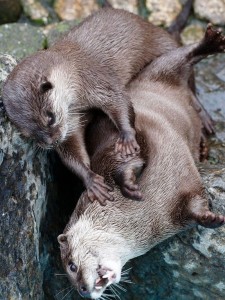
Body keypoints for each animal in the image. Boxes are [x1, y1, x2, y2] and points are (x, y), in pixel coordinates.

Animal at [1, 5, 209, 204]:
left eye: (50, 117)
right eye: (30, 135)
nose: (52, 142)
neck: (74, 71)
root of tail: (157, 28)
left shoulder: (95, 79)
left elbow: (119, 101)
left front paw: (127, 138)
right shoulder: (71, 122)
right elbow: (71, 151)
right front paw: (90, 180)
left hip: (165, 46)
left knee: (189, 80)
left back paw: (205, 118)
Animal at [56, 26, 225, 300]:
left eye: (71, 265)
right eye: (70, 274)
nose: (82, 290)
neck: (145, 216)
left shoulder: (109, 152)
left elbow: (121, 156)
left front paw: (129, 184)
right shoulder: (175, 214)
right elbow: (195, 207)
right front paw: (212, 219)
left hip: (156, 70)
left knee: (180, 57)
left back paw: (212, 41)